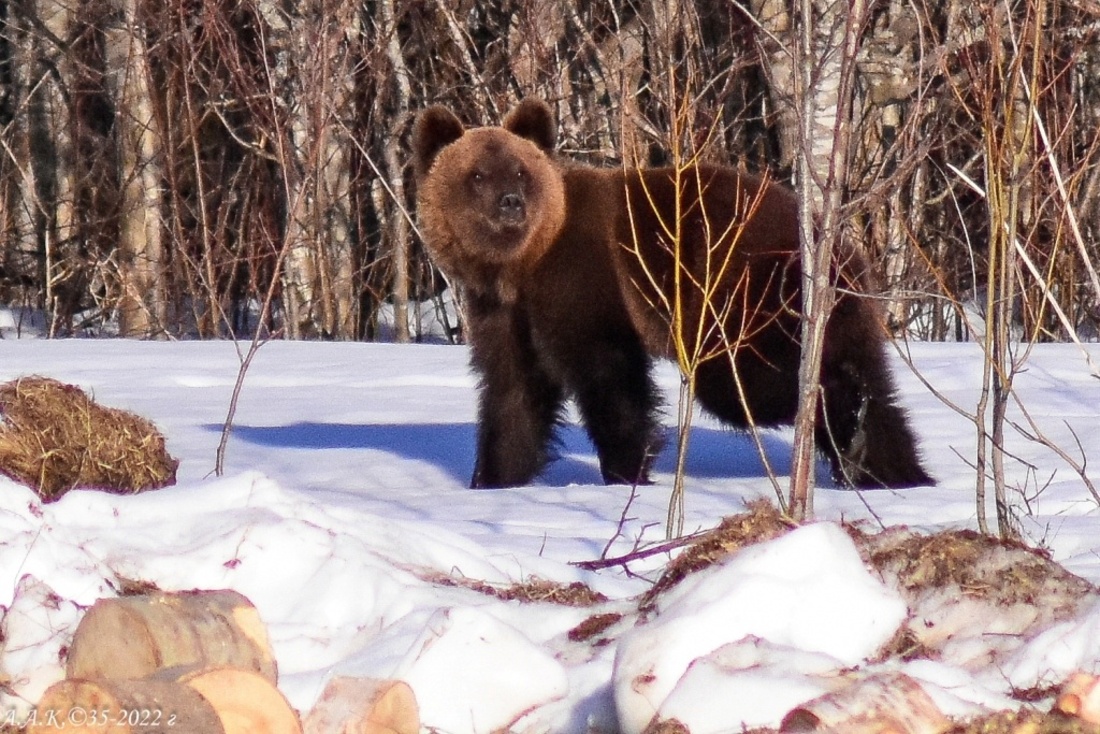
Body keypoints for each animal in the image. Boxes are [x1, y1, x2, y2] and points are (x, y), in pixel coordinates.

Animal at [411, 96, 928, 488]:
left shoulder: (584, 278)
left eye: (520, 171)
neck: (521, 265)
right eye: (477, 175)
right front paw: (494, 478)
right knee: (878, 392)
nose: (511, 204)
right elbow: (512, 393)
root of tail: (842, 248)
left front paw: (626, 470)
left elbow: (610, 376)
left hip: (748, 296)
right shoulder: (502, 313)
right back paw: (892, 469)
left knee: (755, 386)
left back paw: (848, 418)